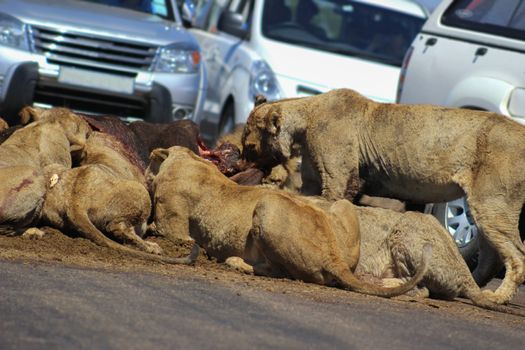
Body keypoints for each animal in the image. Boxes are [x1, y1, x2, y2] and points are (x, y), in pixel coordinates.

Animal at [147, 146, 430, 296]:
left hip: (267, 205)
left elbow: (162, 230)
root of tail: (333, 256)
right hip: (343, 206)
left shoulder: (173, 226)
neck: (187, 160)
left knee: (280, 271)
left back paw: (236, 262)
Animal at [242, 89, 524, 304]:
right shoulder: (313, 182)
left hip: (491, 203)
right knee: (490, 257)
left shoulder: (338, 179)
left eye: (250, 145)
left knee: (517, 255)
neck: (308, 116)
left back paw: (498, 297)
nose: (241, 158)